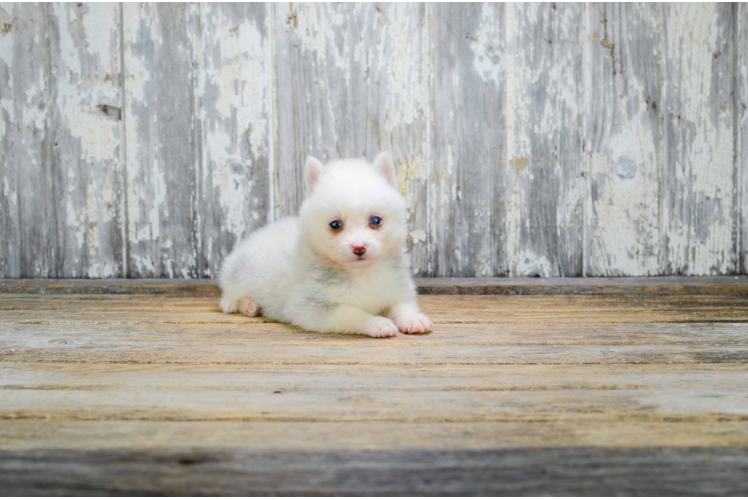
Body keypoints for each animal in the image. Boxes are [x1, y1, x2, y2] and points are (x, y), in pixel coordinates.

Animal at [219, 152, 432, 338]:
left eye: (376, 220)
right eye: (335, 225)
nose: (359, 247)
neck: (362, 273)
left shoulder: (397, 289)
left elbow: (402, 306)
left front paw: (413, 319)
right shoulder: (314, 306)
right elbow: (354, 313)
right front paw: (376, 322)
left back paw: (252, 306)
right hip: (239, 271)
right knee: (230, 290)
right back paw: (238, 304)